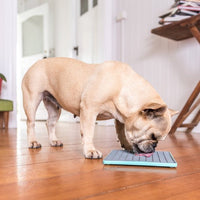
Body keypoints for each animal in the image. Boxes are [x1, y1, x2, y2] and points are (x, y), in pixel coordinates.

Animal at [21, 57, 177, 159]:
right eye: (153, 136)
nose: (155, 146)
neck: (122, 86)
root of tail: (37, 62)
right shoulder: (89, 110)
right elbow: (89, 132)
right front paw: (90, 151)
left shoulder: (121, 118)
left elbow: (121, 132)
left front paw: (126, 145)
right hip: (32, 100)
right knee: (30, 123)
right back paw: (33, 142)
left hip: (54, 107)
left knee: (50, 123)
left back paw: (54, 141)